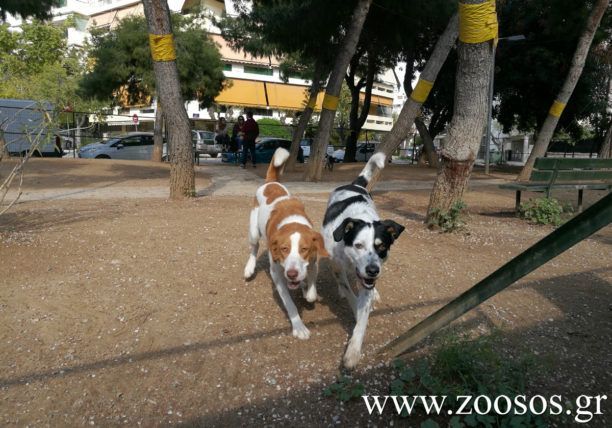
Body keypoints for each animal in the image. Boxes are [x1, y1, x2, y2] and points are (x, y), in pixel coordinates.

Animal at [245, 149, 330, 340]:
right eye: (284, 249)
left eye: (304, 249)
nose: (291, 274)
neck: (292, 222)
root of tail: (271, 182)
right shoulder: (277, 273)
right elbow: (290, 304)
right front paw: (299, 327)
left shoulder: (313, 262)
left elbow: (311, 291)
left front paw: (306, 289)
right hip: (254, 232)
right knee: (254, 248)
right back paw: (249, 268)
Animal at [322, 154, 404, 368]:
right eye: (358, 245)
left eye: (381, 247)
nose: (373, 270)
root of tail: (355, 185)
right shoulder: (337, 266)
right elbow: (352, 296)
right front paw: (353, 304)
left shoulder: (367, 280)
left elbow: (363, 312)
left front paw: (353, 351)